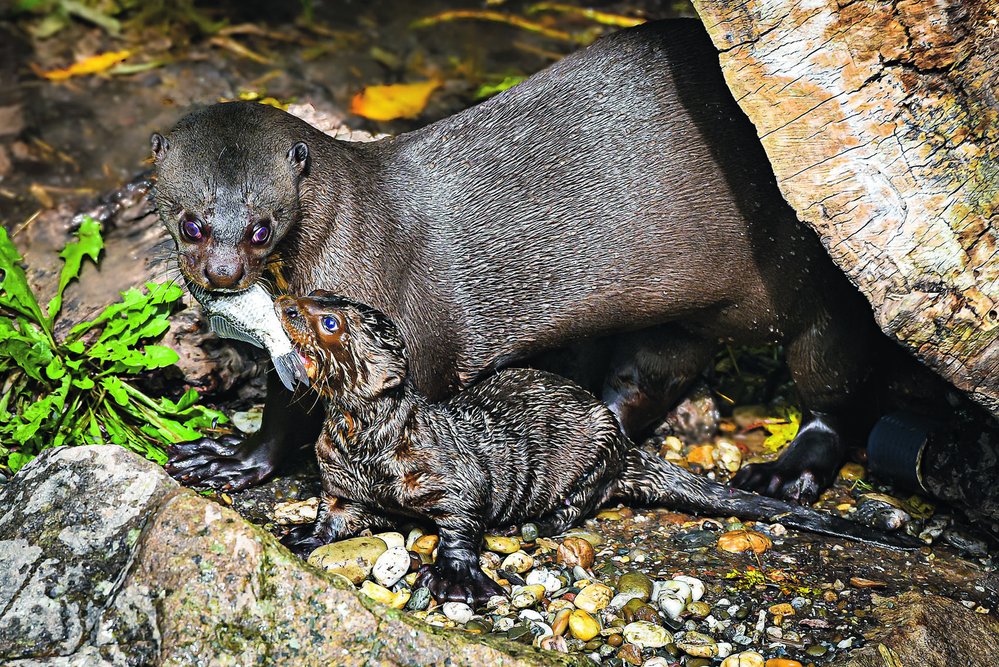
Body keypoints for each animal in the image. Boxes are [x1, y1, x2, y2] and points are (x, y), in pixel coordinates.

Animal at [156, 18, 884, 504]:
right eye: (190, 222)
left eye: (261, 228)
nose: (222, 273)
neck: (351, 234)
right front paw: (235, 455)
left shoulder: (400, 334)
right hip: (683, 314)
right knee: (650, 376)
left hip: (814, 290)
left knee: (831, 383)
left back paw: (787, 469)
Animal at [278, 292, 916, 604]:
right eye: (315, 293)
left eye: (328, 321)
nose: (286, 305)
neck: (369, 447)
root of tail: (625, 441)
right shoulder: (340, 483)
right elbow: (334, 518)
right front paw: (301, 536)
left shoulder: (452, 477)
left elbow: (461, 520)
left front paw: (456, 577)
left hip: (592, 458)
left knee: (587, 498)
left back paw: (544, 521)